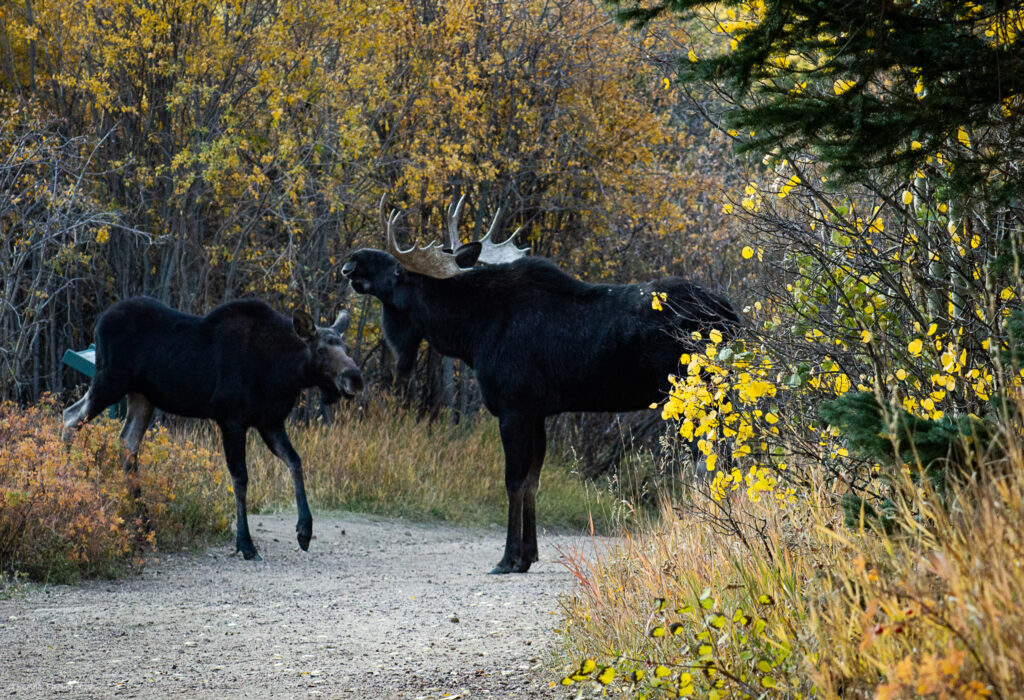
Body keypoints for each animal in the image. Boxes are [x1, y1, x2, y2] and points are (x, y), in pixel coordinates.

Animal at [60, 294, 364, 556]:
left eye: (347, 348)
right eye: (322, 349)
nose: (355, 377)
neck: (285, 372)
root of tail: (100, 321)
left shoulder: (270, 422)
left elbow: (295, 461)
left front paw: (304, 531)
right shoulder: (232, 418)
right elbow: (240, 478)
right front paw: (245, 543)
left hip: (141, 396)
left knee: (127, 442)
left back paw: (143, 525)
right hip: (110, 380)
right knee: (70, 417)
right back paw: (70, 487)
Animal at [342, 198, 737, 573]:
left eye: (398, 271)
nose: (350, 264)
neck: (468, 334)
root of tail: (732, 316)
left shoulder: (513, 407)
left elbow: (513, 481)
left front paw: (507, 559)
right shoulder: (538, 412)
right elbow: (533, 479)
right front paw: (527, 556)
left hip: (699, 395)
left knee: (709, 464)